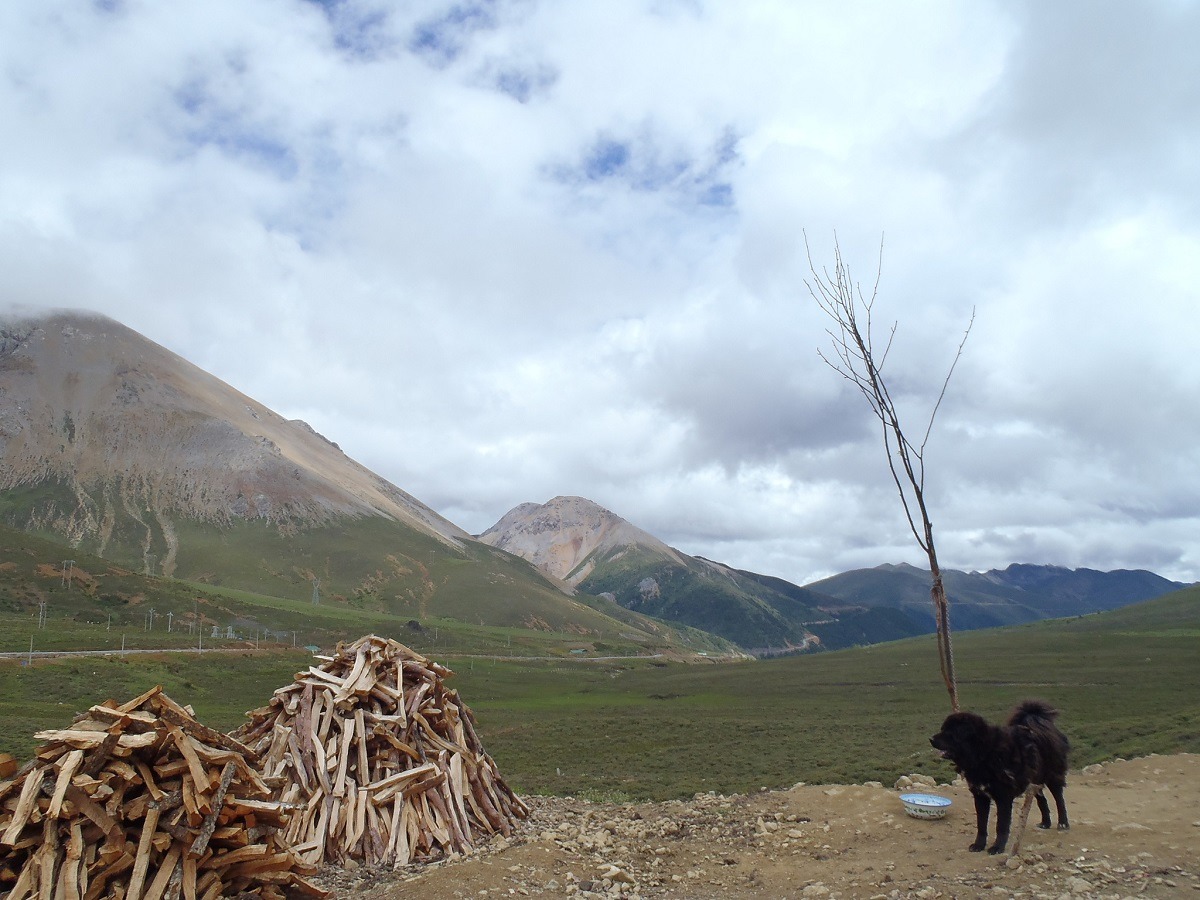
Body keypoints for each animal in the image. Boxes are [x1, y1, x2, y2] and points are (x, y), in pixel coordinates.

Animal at [931, 700, 1075, 854]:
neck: (984, 753)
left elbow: (1001, 825)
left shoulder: (1003, 798)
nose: (930, 739)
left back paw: (1063, 823)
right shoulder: (980, 796)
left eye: (949, 732)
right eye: (942, 729)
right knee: (1042, 800)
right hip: (1033, 781)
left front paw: (997, 847)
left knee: (1059, 799)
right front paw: (979, 845)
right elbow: (981, 824)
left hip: (1053, 777)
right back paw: (1045, 822)